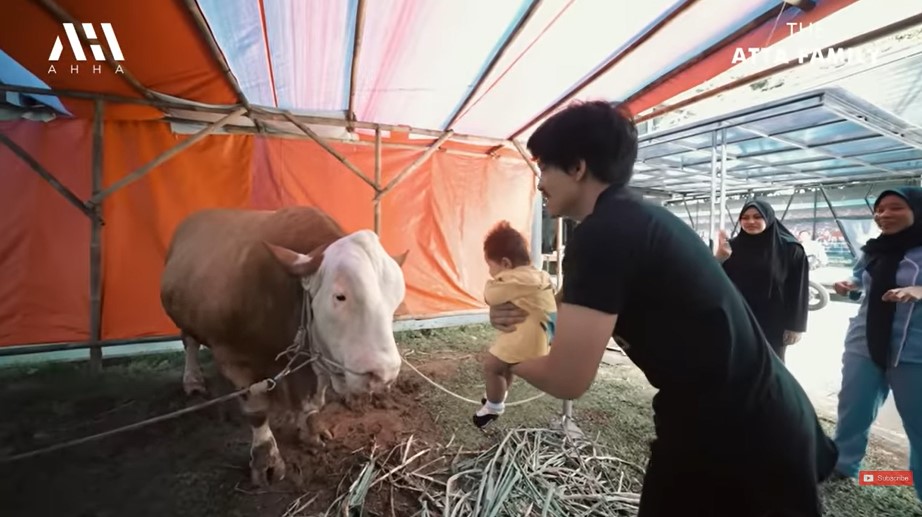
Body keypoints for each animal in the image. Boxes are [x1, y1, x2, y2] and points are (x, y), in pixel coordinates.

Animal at [160, 205, 408, 484]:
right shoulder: (234, 357)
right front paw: (266, 457)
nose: (384, 374)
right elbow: (256, 410)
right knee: (189, 341)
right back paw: (192, 379)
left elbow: (313, 402)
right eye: (340, 296)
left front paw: (311, 430)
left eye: (396, 300)